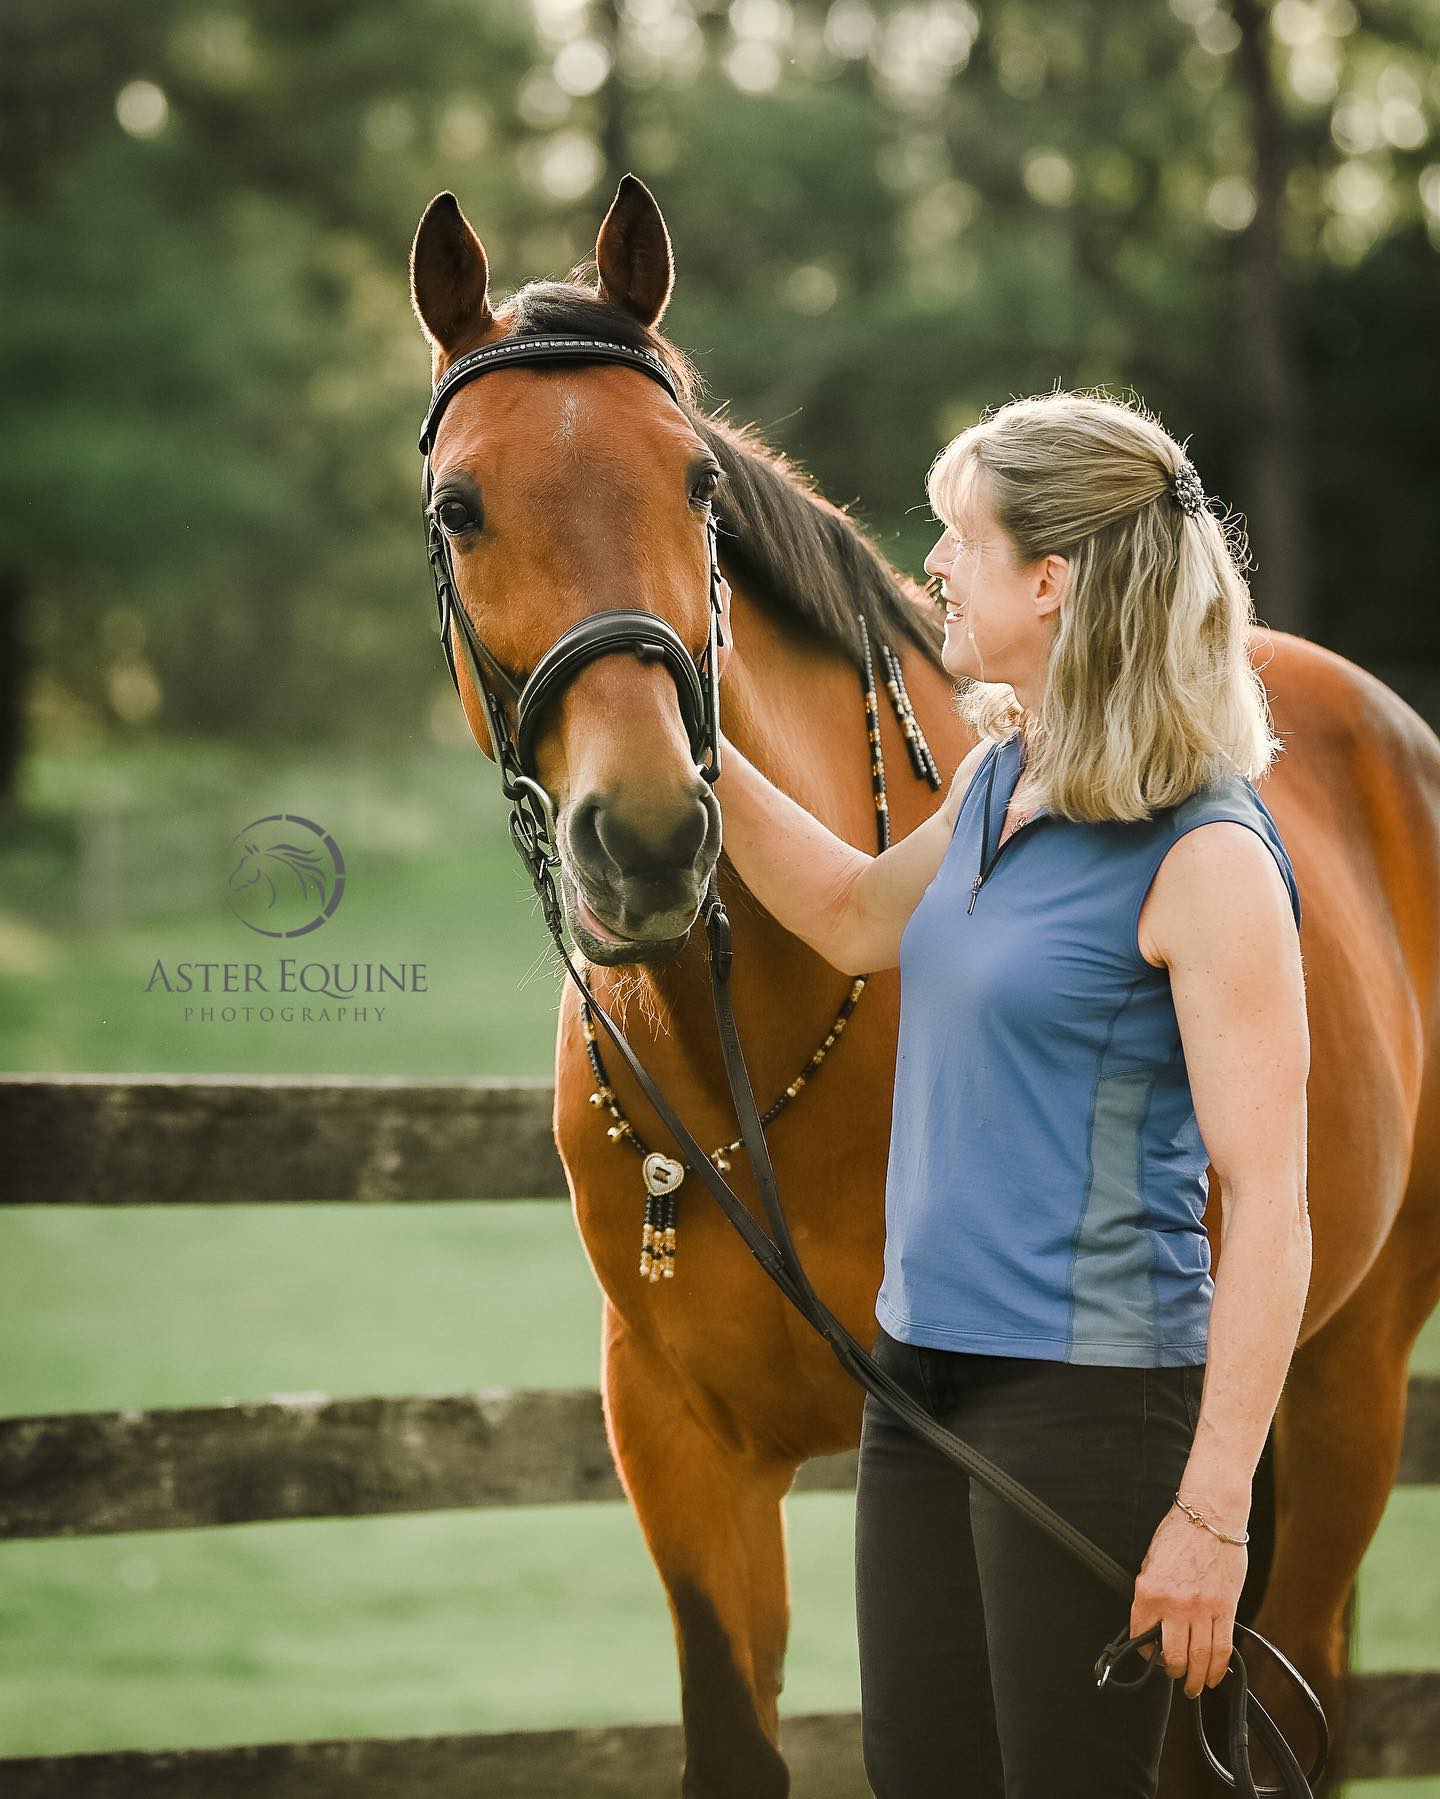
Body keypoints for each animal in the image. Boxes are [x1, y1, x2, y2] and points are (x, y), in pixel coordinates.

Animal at [408, 171, 1440, 1799]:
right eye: (462, 506)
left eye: (696, 489)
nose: (650, 837)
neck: (750, 1044)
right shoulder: (685, 1451)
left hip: (1341, 1386)